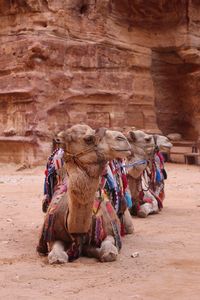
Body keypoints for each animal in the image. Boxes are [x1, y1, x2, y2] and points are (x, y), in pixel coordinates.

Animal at [37, 123, 131, 262]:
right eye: (89, 139)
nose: (122, 138)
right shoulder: (53, 234)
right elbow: (56, 255)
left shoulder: (109, 230)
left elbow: (109, 251)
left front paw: (96, 251)